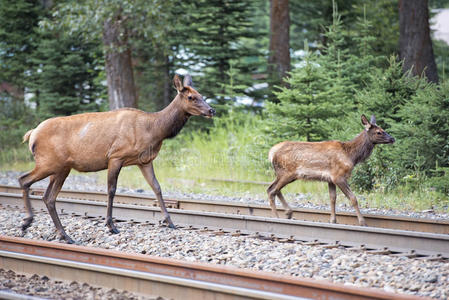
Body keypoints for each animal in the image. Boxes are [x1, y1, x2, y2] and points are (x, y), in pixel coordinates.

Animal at [20, 74, 216, 244]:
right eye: (191, 97)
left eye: (201, 95)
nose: (211, 110)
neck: (154, 130)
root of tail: (31, 135)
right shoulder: (116, 156)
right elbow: (111, 190)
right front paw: (110, 225)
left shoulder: (145, 161)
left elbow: (157, 188)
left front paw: (170, 222)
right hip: (49, 163)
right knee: (25, 180)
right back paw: (28, 222)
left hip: (61, 168)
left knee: (48, 197)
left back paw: (63, 235)